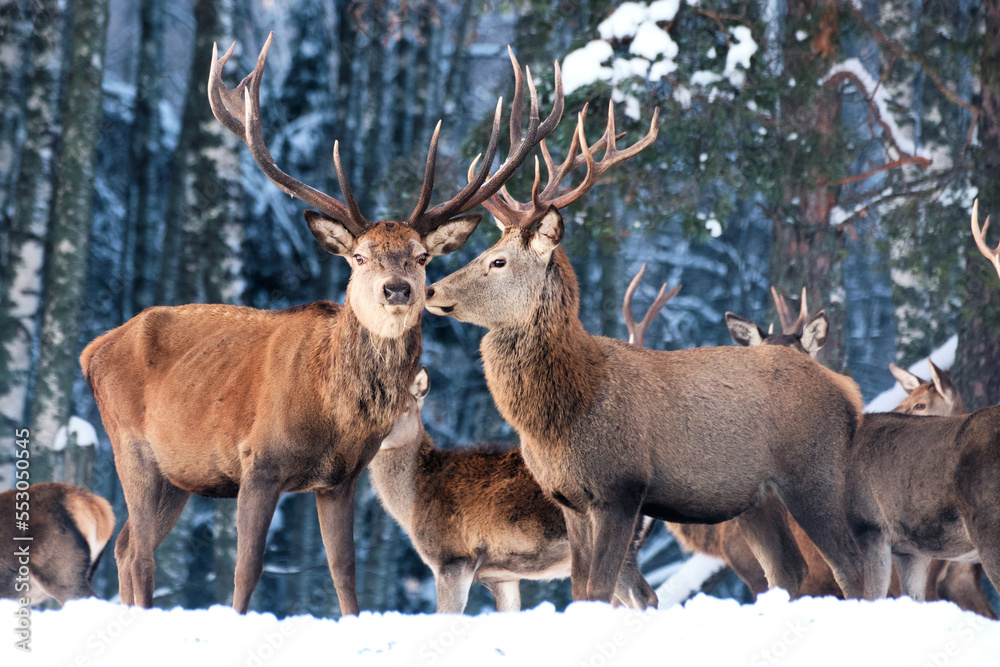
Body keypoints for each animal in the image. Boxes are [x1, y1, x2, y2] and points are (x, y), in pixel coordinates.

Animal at [82, 35, 568, 616]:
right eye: (359, 256)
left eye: (422, 256)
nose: (398, 290)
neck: (332, 409)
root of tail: (92, 350)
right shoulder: (258, 463)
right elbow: (246, 572)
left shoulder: (340, 479)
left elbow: (345, 574)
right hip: (130, 446)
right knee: (137, 554)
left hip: (179, 473)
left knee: (127, 545)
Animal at [424, 95, 884, 604]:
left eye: (498, 261)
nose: (430, 289)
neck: (562, 416)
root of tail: (849, 392)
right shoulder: (569, 500)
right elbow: (580, 591)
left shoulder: (621, 488)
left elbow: (599, 590)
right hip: (756, 496)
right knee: (788, 567)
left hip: (814, 472)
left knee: (851, 567)